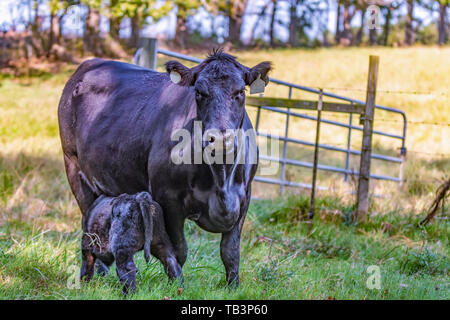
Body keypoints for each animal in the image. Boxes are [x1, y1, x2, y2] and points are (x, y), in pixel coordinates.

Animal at [58, 51, 272, 286]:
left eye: (240, 91)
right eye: (199, 92)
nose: (219, 138)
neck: (220, 179)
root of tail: (92, 63)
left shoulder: (244, 196)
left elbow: (230, 250)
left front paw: (233, 286)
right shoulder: (168, 199)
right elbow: (179, 250)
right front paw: (174, 286)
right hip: (73, 166)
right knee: (88, 220)